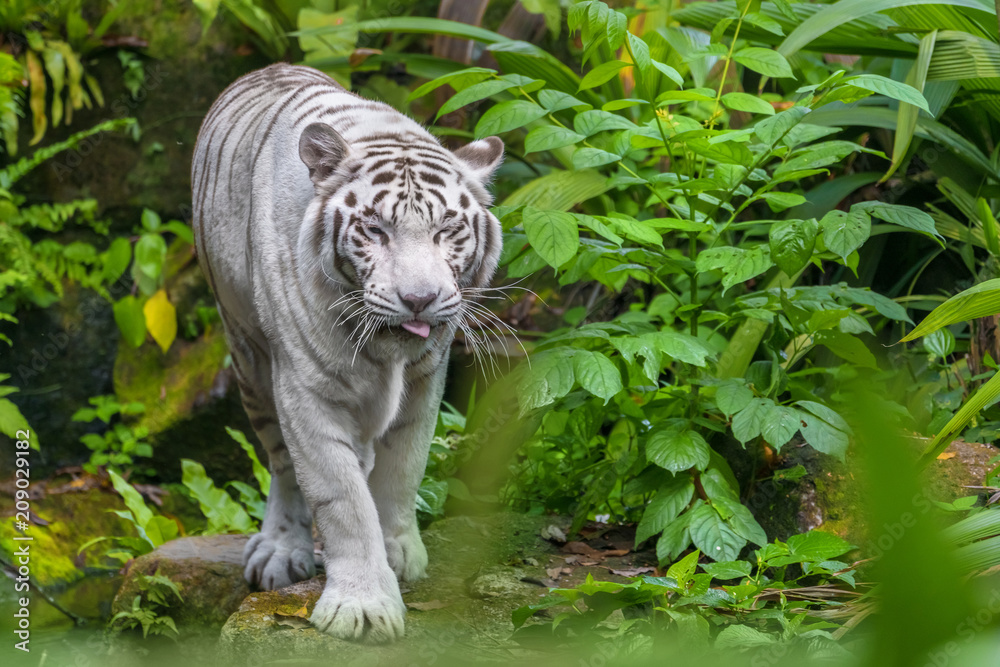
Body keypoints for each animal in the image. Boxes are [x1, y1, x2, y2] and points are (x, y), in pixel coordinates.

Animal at [191, 63, 504, 642]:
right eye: (375, 230)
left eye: (447, 229)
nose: (419, 299)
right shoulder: (305, 389)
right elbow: (341, 498)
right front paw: (362, 606)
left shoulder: (426, 381)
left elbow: (404, 467)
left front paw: (400, 551)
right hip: (247, 356)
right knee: (280, 462)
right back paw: (280, 551)